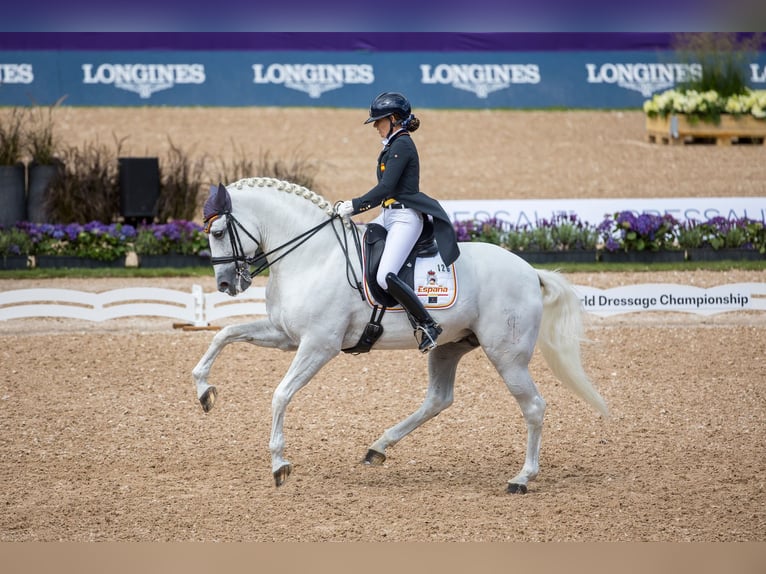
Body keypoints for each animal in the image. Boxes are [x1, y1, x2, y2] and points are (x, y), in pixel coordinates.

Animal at [194, 179, 612, 496]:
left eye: (218, 232)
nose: (226, 284)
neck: (313, 255)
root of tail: (529, 271)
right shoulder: (285, 336)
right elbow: (224, 334)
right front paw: (204, 390)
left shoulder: (318, 345)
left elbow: (281, 394)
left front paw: (279, 463)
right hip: (449, 348)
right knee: (438, 399)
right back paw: (377, 448)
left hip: (507, 356)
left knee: (534, 407)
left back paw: (522, 478)